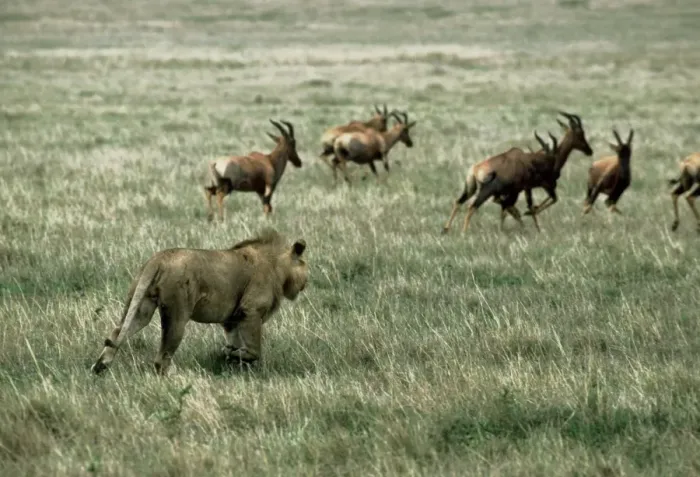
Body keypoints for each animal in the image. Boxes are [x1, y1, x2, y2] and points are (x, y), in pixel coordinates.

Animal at [90, 229, 309, 375]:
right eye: (305, 265)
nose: (306, 282)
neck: (278, 267)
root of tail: (159, 258)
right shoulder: (251, 310)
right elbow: (254, 350)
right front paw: (232, 354)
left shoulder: (232, 319)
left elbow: (236, 342)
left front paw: (231, 359)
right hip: (177, 314)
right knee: (161, 358)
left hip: (140, 306)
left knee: (117, 332)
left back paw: (100, 367)